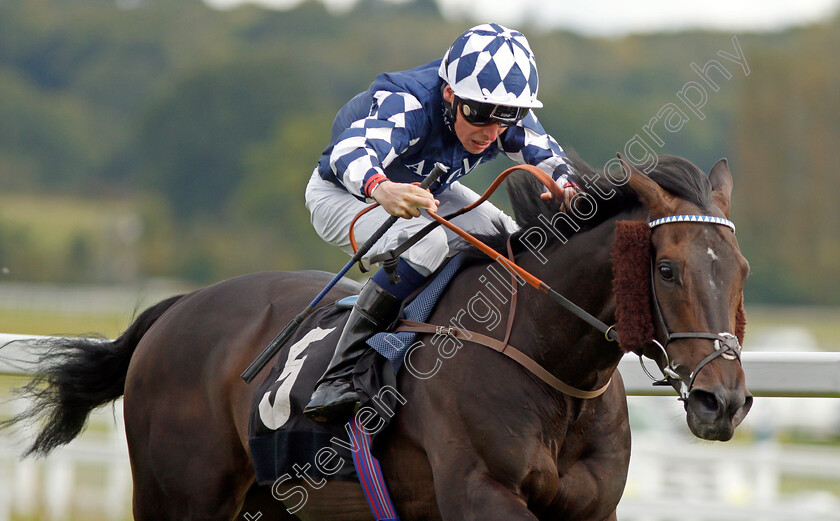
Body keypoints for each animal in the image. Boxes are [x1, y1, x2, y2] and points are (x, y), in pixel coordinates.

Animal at [4, 155, 756, 520]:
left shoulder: (592, 509)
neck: (545, 357)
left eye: (741, 270)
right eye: (667, 268)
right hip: (178, 495)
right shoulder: (481, 494)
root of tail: (180, 306)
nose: (723, 401)